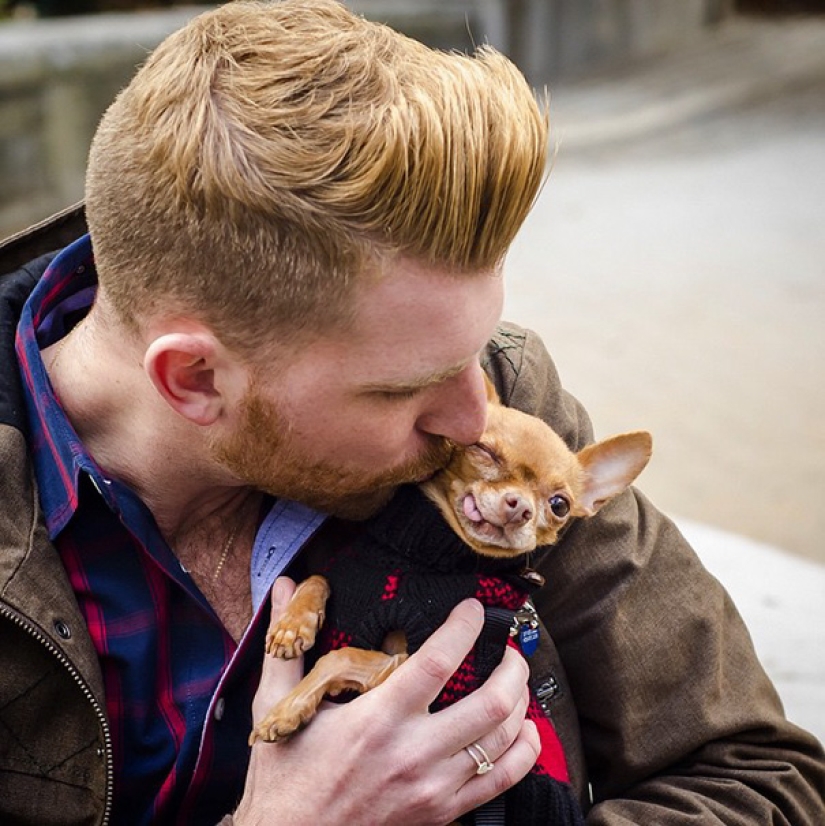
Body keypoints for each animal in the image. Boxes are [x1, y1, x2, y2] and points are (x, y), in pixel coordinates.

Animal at [251, 380, 652, 740]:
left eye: (559, 505)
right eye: (484, 450)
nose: (519, 507)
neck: (420, 558)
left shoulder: (422, 674)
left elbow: (340, 656)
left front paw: (287, 710)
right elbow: (318, 579)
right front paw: (293, 626)